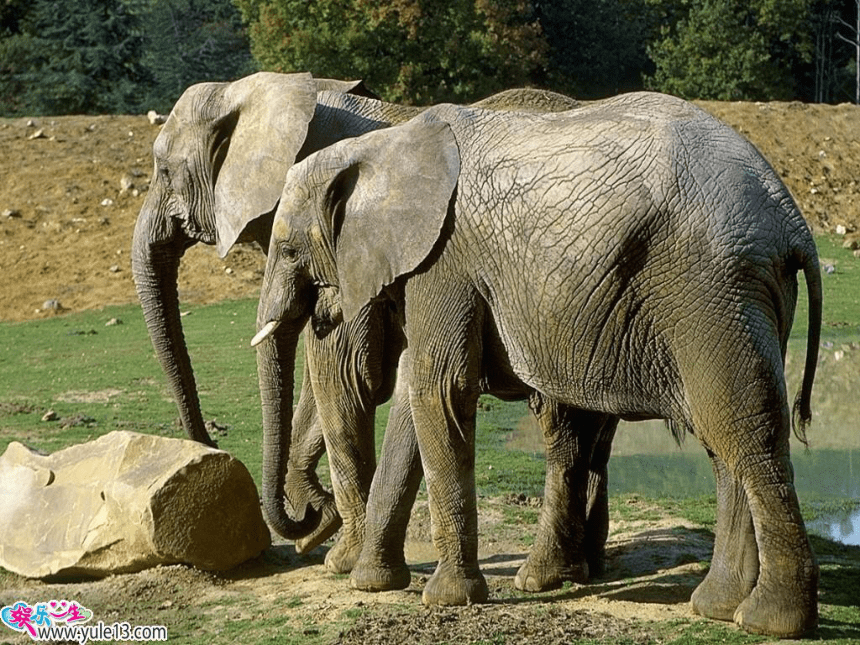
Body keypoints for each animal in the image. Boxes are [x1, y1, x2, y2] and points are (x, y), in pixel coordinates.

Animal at [256, 92, 828, 640]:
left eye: (286, 248)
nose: (310, 518)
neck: (381, 145)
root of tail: (792, 220)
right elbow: (424, 396)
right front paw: (385, 585)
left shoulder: (445, 259)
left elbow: (439, 388)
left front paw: (444, 599)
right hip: (741, 295)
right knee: (723, 441)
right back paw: (714, 606)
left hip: (712, 291)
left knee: (743, 430)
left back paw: (767, 621)